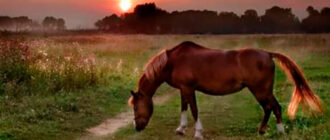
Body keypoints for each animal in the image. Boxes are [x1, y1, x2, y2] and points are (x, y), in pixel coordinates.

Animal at [127, 41, 322, 138]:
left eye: (136, 106)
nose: (137, 127)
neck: (173, 61)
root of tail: (267, 54)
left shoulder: (189, 89)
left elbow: (194, 110)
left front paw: (198, 132)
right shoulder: (184, 89)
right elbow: (184, 108)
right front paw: (181, 129)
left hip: (261, 90)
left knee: (274, 107)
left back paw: (279, 131)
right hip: (260, 91)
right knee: (269, 108)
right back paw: (261, 130)